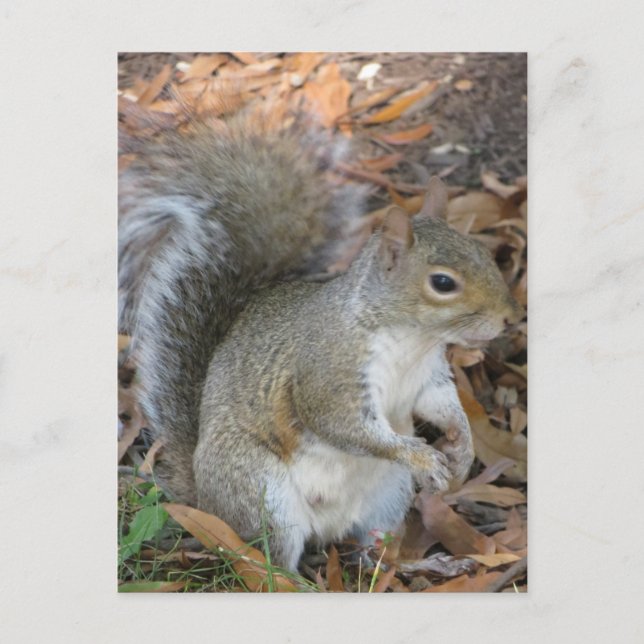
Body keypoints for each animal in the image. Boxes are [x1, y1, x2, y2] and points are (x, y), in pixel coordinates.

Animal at [119, 111, 523, 572]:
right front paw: (423, 456)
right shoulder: (329, 374)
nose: (511, 317)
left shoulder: (427, 376)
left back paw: (425, 564)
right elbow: (345, 426)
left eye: (484, 252)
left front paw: (464, 447)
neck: (411, 338)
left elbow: (440, 403)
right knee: (272, 562)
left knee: (375, 557)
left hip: (387, 497)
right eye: (443, 283)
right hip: (263, 495)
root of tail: (205, 502)